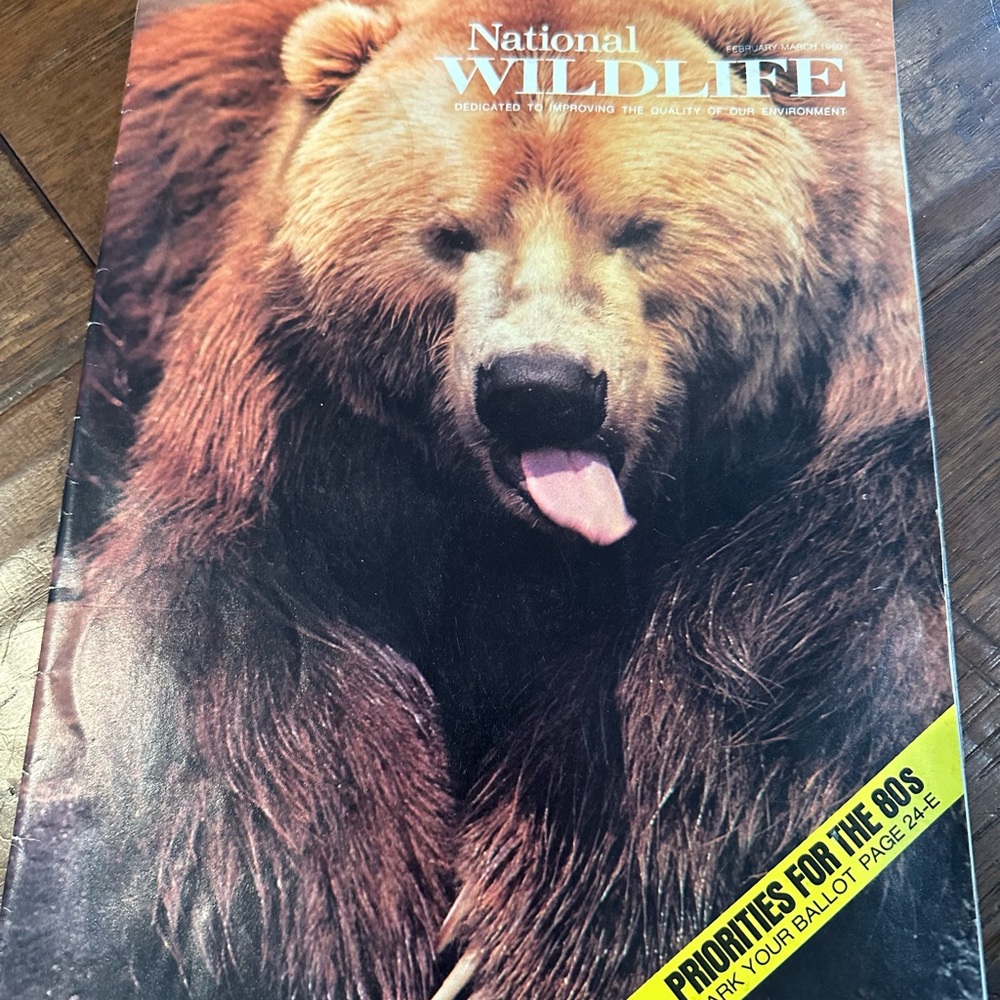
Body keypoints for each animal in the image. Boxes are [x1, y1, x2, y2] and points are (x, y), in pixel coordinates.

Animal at [0, 0, 985, 998]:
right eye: (451, 233)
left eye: (638, 227)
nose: (540, 387)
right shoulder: (300, 417)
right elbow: (239, 628)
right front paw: (336, 928)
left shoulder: (852, 375)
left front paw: (532, 926)